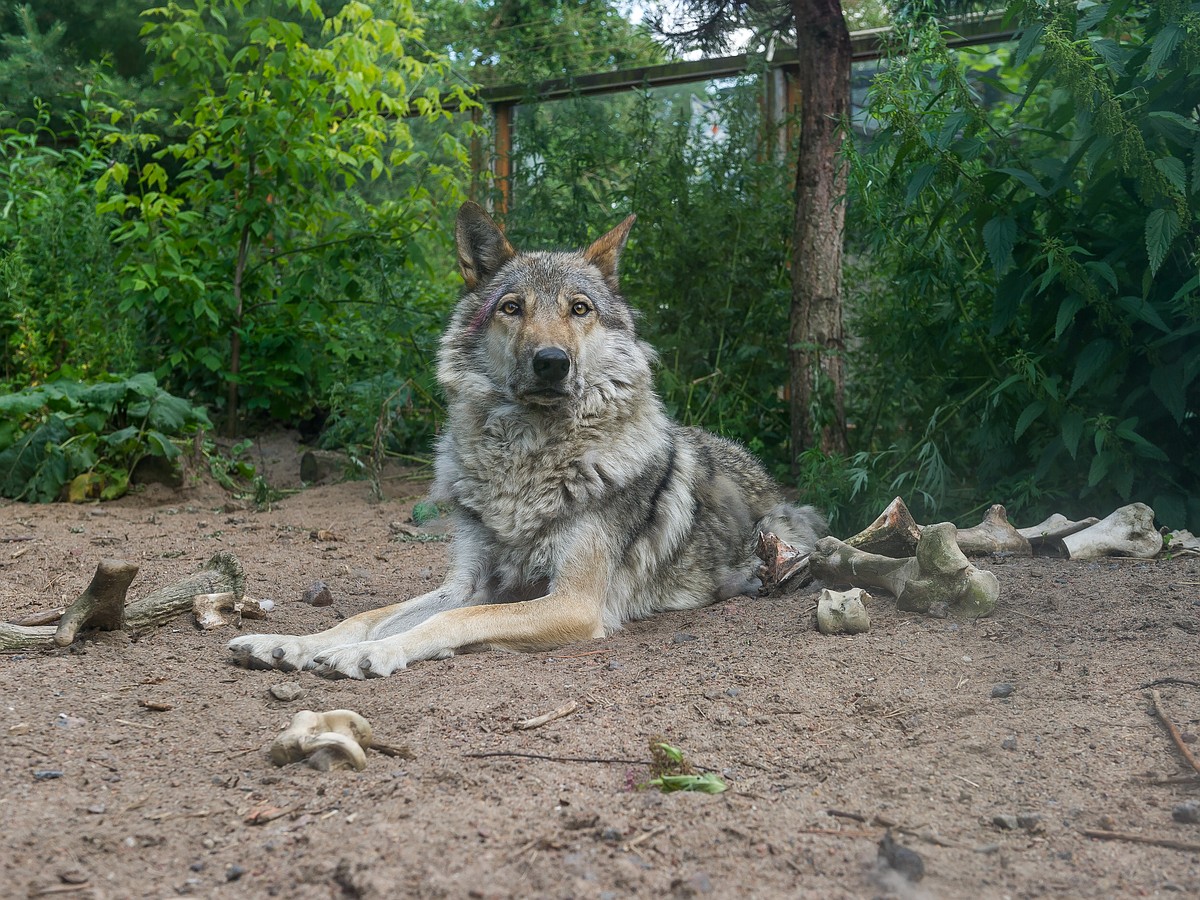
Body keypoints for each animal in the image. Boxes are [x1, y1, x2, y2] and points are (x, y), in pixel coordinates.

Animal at [225, 204, 825, 681]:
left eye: (579, 309)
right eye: (512, 307)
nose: (551, 362)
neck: (525, 464)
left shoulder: (572, 603)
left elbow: (450, 621)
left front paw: (368, 655)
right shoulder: (468, 582)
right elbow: (367, 617)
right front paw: (290, 644)